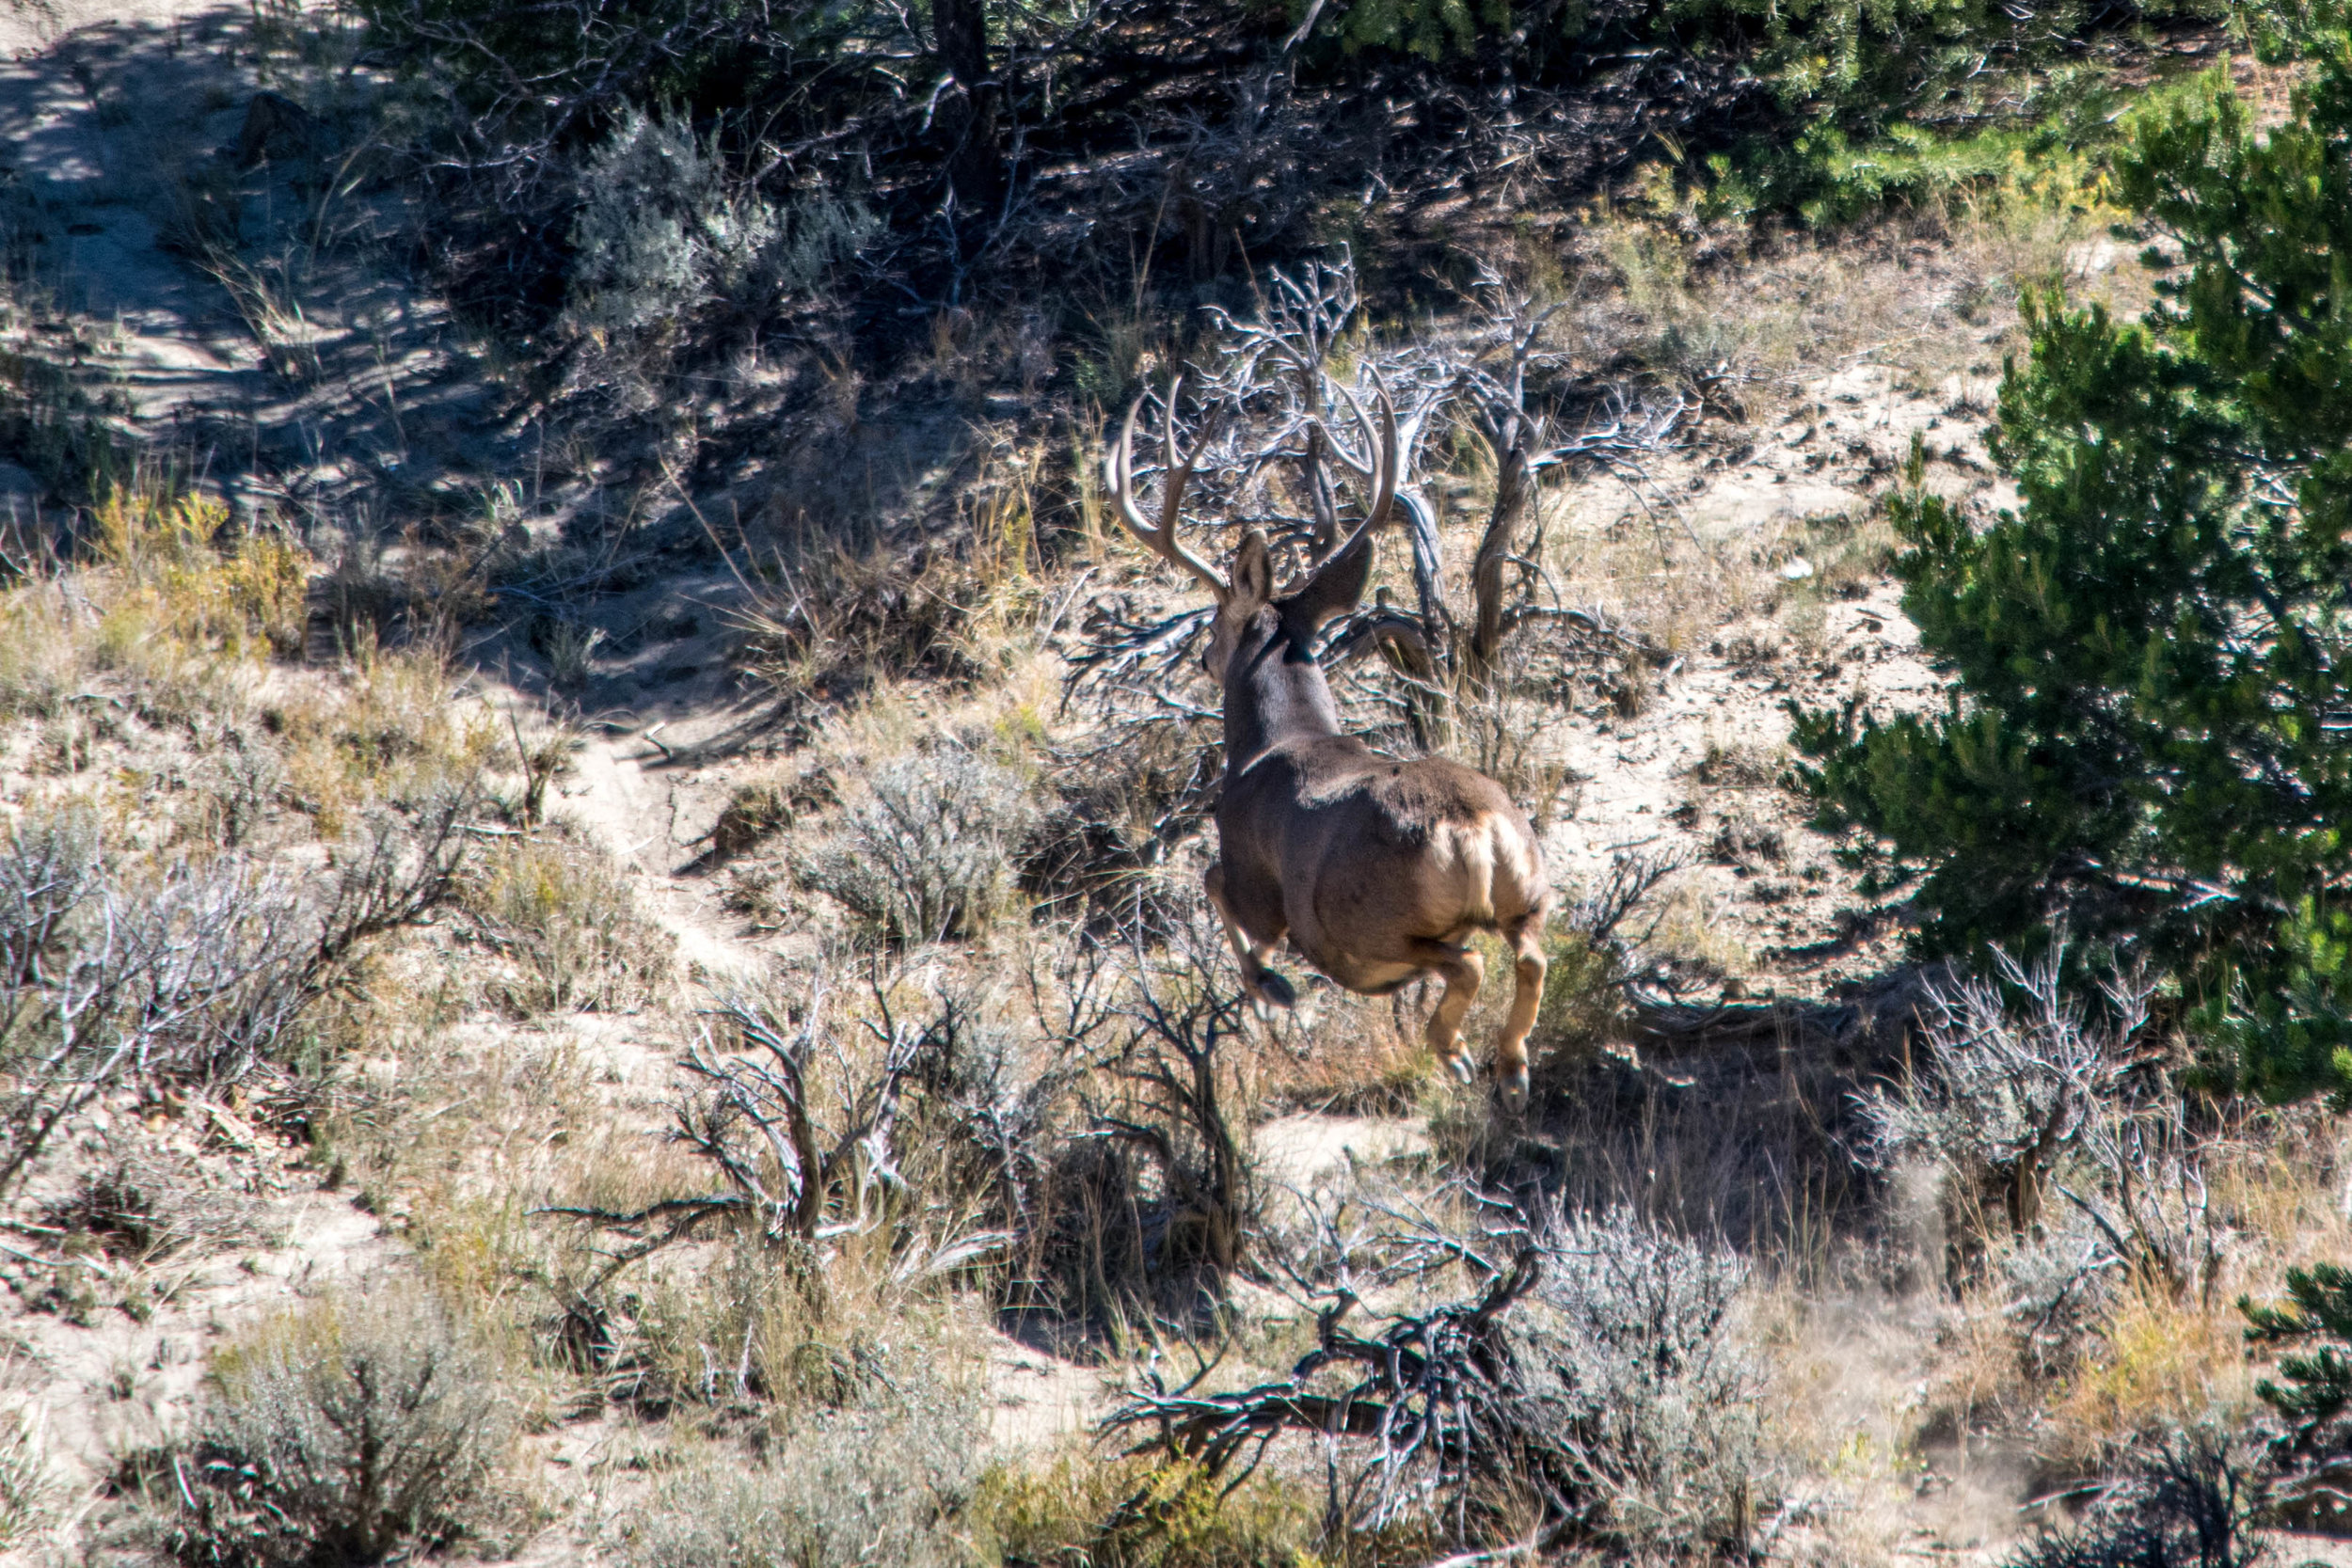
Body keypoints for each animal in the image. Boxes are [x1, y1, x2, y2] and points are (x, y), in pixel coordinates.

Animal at [1105, 385, 1552, 1104]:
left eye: (1214, 623)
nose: (1203, 656)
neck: (1277, 742)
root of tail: (1474, 826)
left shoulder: (1254, 876)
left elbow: (1213, 883)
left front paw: (1270, 988)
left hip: (1376, 923)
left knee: (1469, 962)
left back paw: (1454, 1050)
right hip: (1526, 890)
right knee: (1529, 957)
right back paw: (1510, 1067)